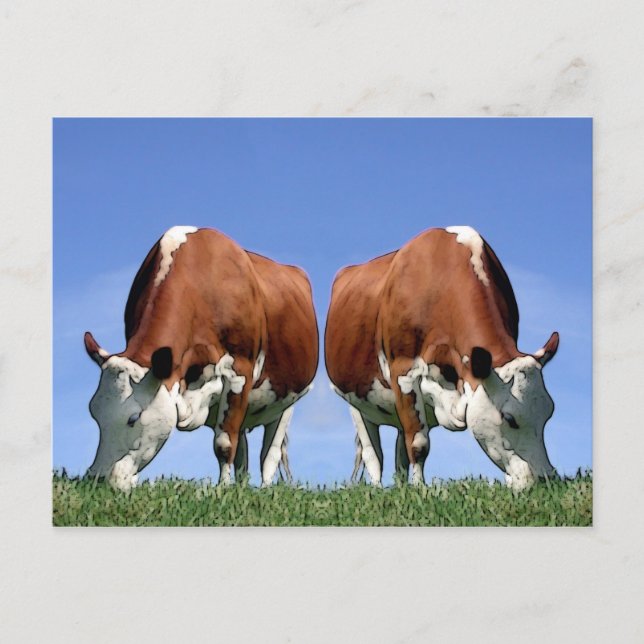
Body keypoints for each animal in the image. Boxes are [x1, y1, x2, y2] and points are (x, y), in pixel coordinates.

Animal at [84, 226, 318, 491]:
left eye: (133, 418)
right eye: (94, 412)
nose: (98, 479)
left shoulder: (239, 371)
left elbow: (225, 443)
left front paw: (222, 490)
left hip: (289, 399)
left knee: (270, 453)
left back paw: (265, 488)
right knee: (244, 452)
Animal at [325, 226, 559, 491]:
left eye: (549, 412)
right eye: (509, 418)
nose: (545, 480)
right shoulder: (404, 372)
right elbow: (418, 444)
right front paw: (420, 489)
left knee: (398, 450)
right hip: (354, 399)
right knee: (373, 453)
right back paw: (377, 488)